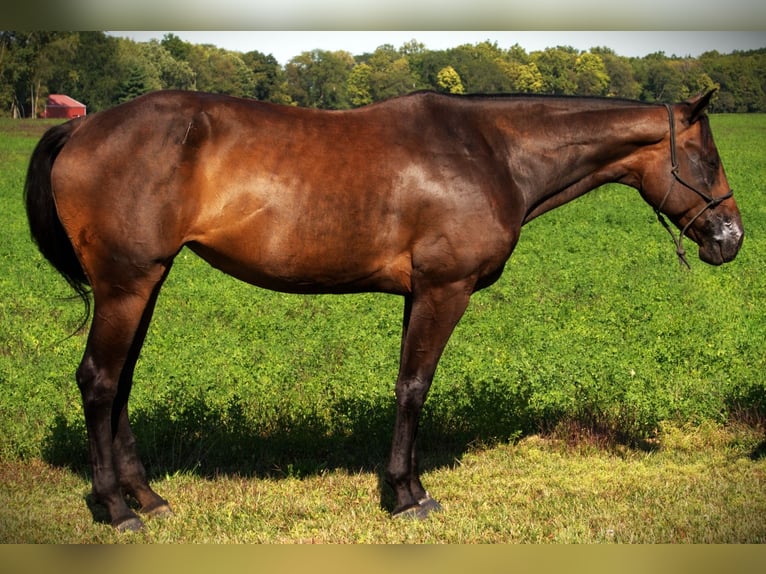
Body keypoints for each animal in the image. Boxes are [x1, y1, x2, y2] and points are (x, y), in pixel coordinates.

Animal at [25, 89, 743, 531]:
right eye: (706, 159)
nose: (730, 239)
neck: (493, 151)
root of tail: (85, 124)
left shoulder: (417, 293)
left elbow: (405, 386)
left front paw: (404, 487)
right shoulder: (444, 289)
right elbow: (414, 387)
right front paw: (407, 495)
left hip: (144, 283)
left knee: (120, 385)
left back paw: (147, 496)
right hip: (126, 283)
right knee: (99, 381)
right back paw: (117, 508)